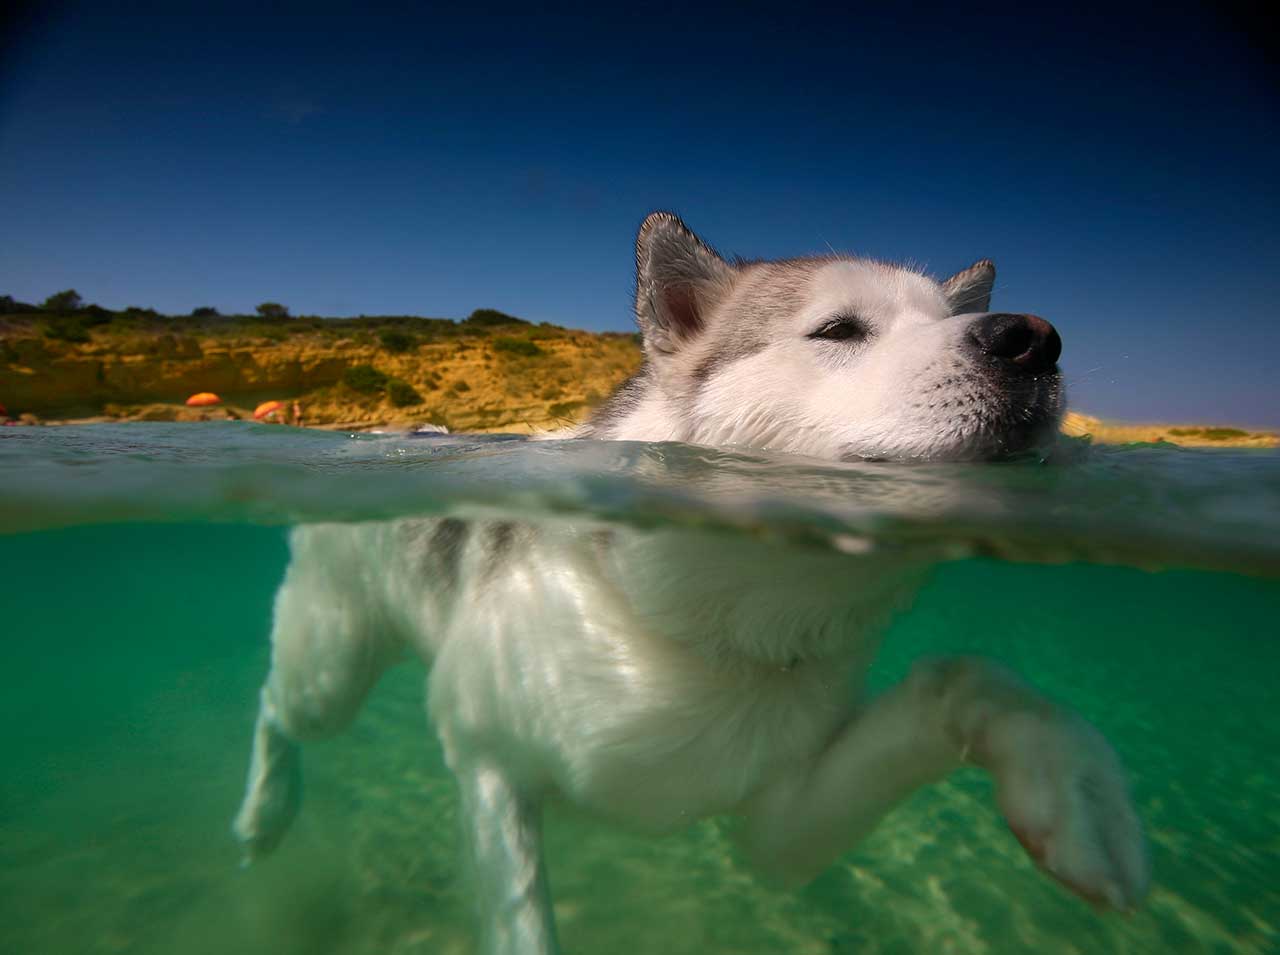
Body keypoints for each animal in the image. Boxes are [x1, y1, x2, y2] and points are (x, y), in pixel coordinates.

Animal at [232, 213, 1152, 952]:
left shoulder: (777, 825)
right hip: (330, 663)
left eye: (950, 317)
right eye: (839, 329)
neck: (699, 629)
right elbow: (524, 922)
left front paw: (1076, 791)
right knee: (278, 706)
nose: (1033, 337)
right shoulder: (489, 766)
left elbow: (965, 678)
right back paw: (263, 811)